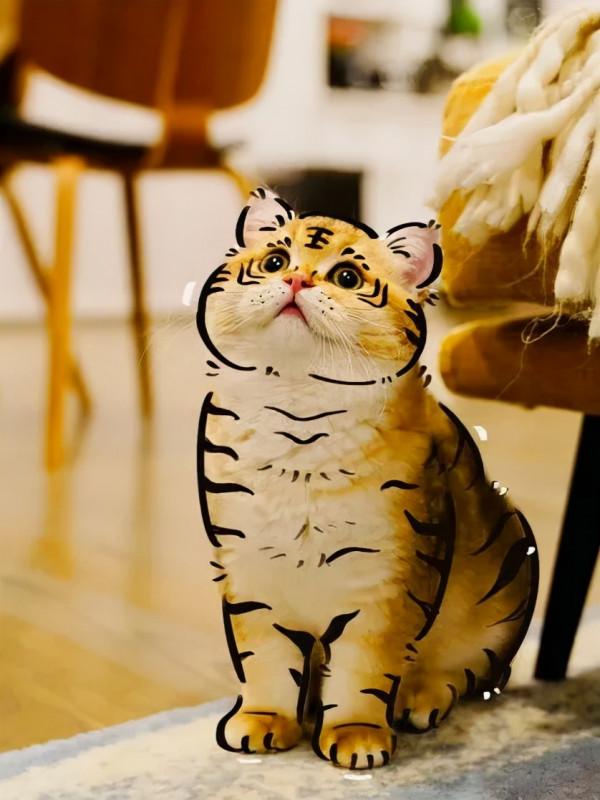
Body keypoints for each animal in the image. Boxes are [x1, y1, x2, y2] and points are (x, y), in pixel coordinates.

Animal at [196, 187, 538, 770]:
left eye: (346, 277)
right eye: (276, 262)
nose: (297, 281)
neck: (299, 425)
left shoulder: (386, 586)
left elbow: (361, 676)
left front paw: (356, 738)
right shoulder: (252, 576)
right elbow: (264, 664)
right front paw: (264, 722)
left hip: (500, 605)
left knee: (464, 672)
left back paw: (418, 700)